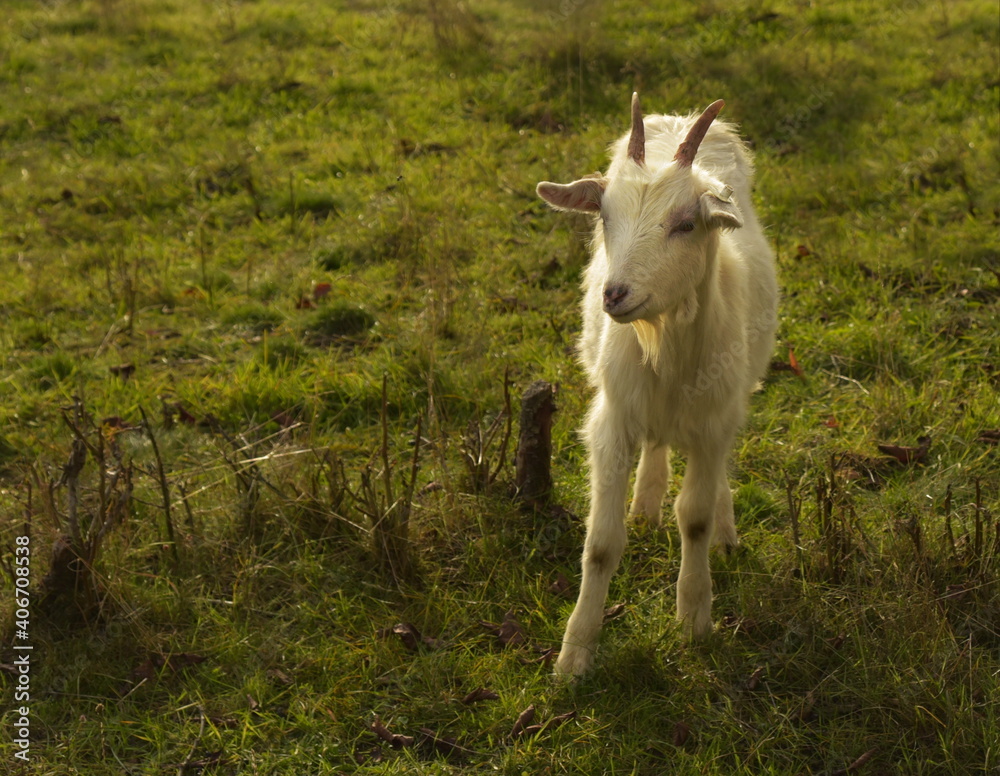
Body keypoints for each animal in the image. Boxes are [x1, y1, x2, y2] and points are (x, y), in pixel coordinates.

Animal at [536, 94, 776, 676]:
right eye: (604, 216)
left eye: (687, 223)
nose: (615, 294)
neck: (664, 347)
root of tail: (679, 119)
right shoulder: (613, 418)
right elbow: (601, 543)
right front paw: (575, 654)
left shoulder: (714, 421)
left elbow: (694, 517)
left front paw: (693, 619)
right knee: (658, 444)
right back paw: (645, 504)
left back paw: (724, 530)